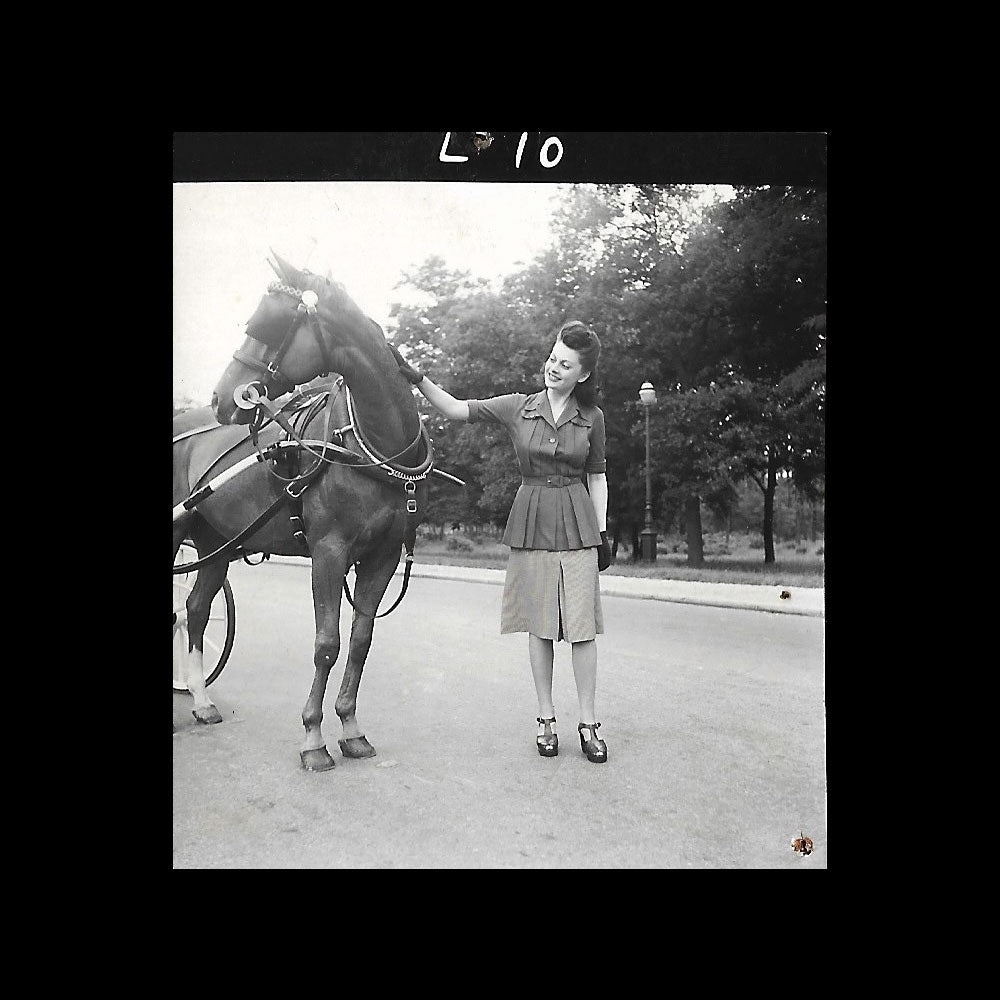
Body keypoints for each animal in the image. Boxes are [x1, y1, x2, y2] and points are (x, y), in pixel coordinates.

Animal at [172, 252, 430, 772]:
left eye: (265, 326)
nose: (221, 397)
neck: (371, 446)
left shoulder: (383, 556)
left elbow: (361, 639)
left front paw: (350, 727)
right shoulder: (329, 552)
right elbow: (326, 644)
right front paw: (313, 736)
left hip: (215, 543)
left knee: (195, 608)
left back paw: (202, 700)